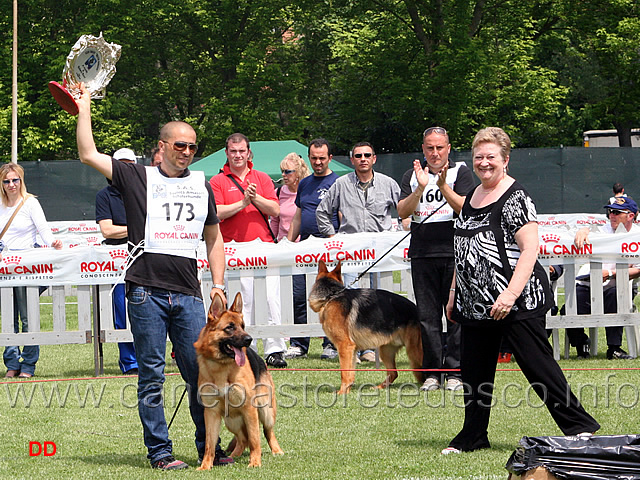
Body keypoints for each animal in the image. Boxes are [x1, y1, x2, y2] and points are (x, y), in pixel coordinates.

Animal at [194, 290, 284, 466]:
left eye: (242, 326)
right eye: (229, 327)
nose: (249, 340)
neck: (222, 366)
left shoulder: (249, 408)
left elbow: (255, 439)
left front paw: (255, 462)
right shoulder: (211, 413)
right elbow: (209, 444)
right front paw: (205, 466)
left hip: (265, 411)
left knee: (267, 432)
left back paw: (277, 450)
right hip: (231, 419)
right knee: (242, 439)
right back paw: (234, 455)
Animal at [308, 262, 424, 394]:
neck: (331, 296)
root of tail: (416, 310)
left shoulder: (344, 346)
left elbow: (344, 373)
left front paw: (341, 393)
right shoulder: (352, 350)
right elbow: (350, 373)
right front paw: (347, 391)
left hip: (414, 351)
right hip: (385, 351)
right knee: (393, 373)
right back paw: (378, 387)